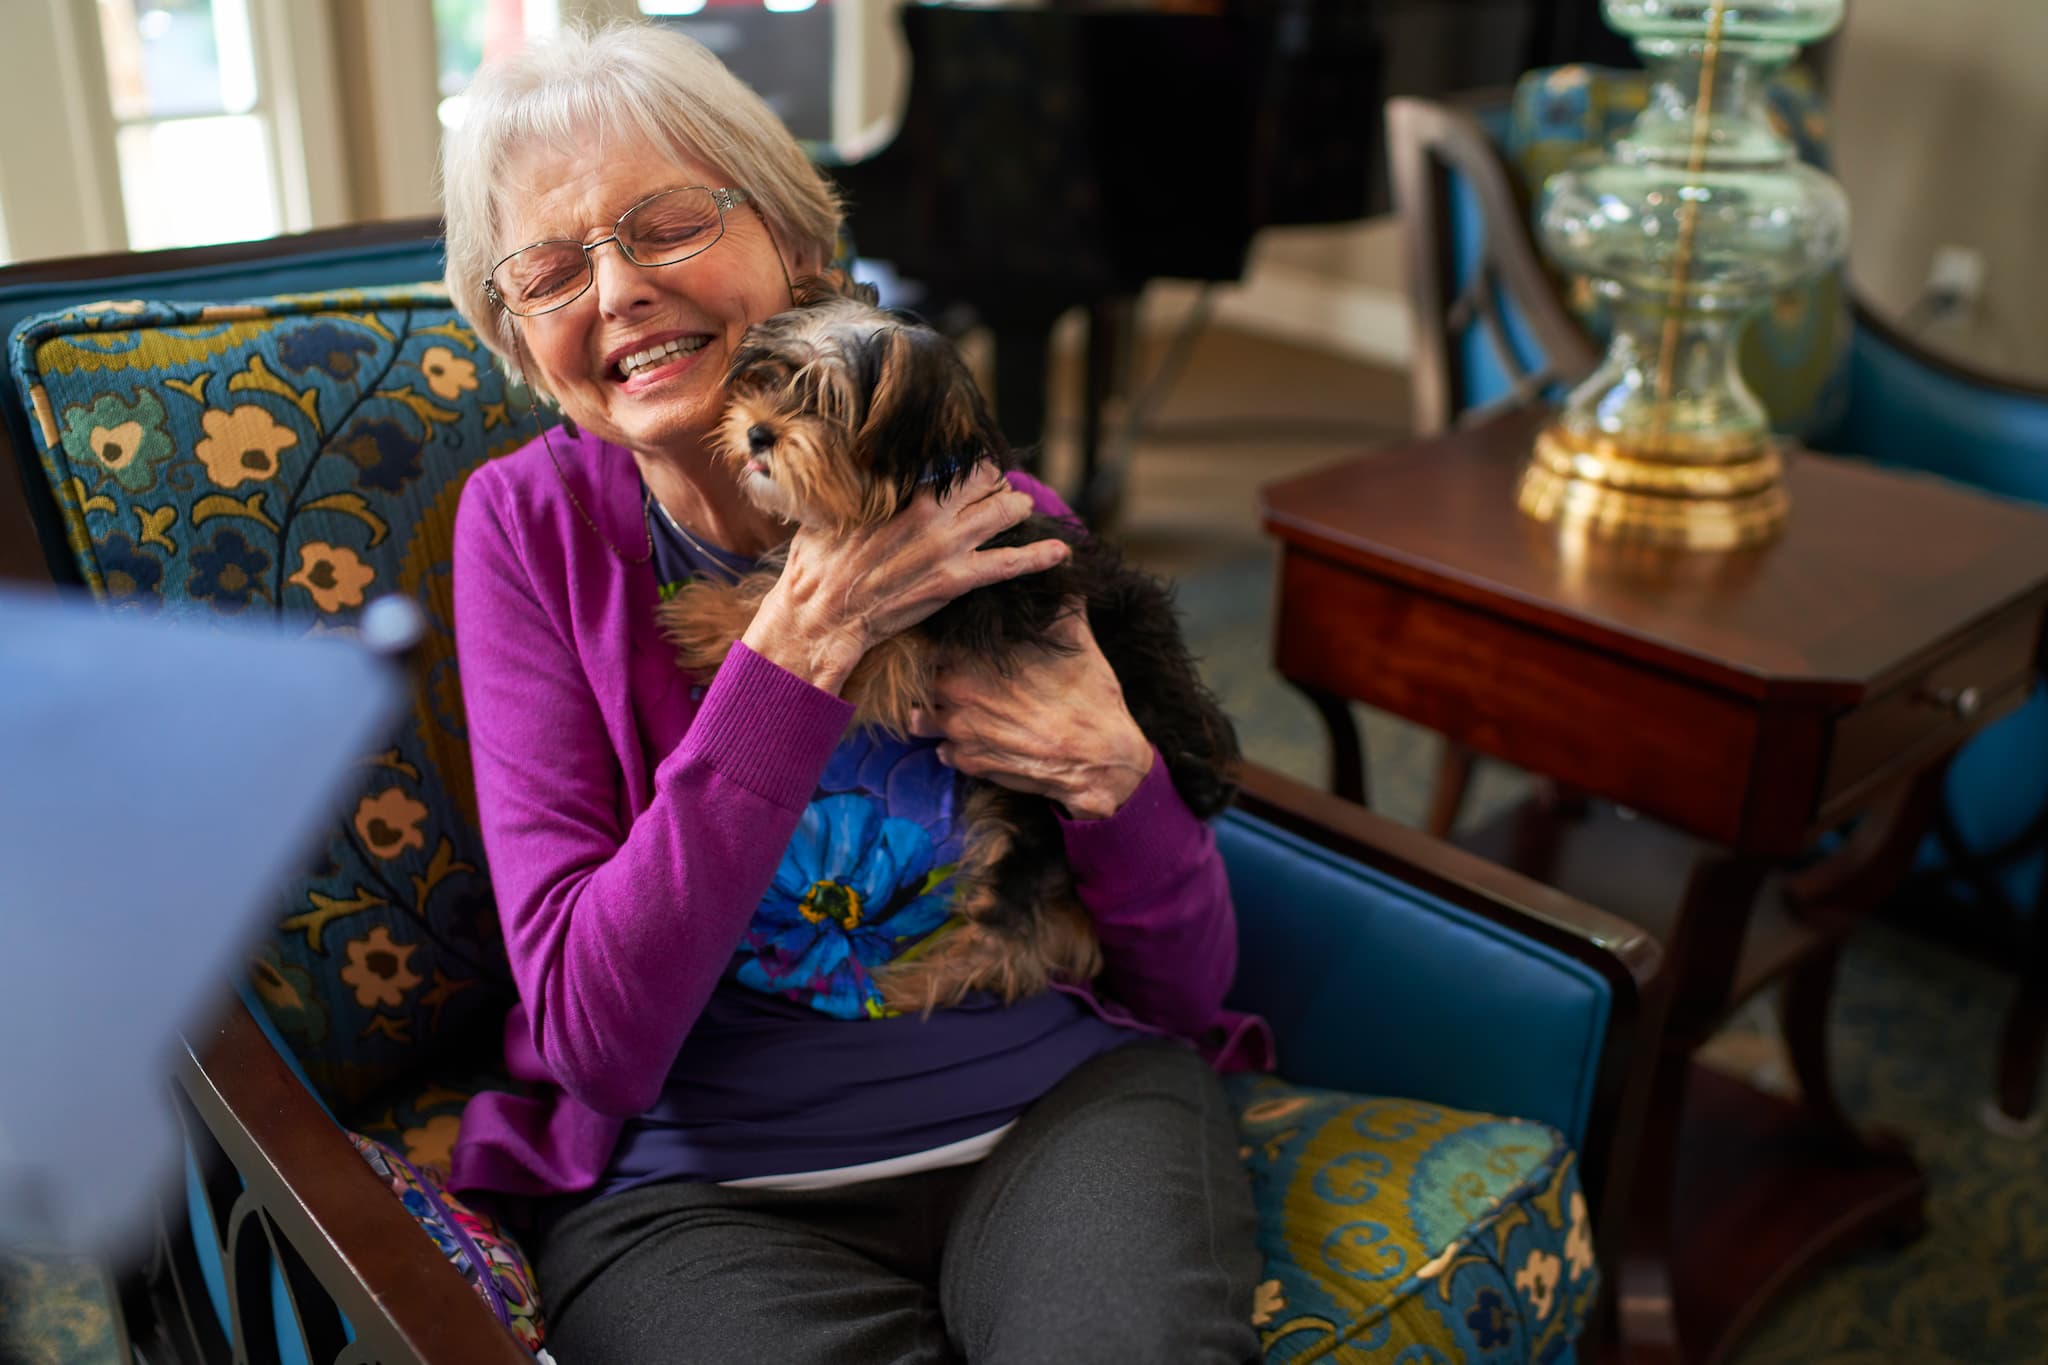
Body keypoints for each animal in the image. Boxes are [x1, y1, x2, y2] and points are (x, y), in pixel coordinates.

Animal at [659, 270, 1228, 1015]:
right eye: (771, 380)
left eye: (828, 405)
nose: (757, 433)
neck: (910, 487)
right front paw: (715, 610)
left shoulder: (923, 622)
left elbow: (818, 630)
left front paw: (706, 618)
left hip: (1040, 815)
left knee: (1012, 935)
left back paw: (922, 977)